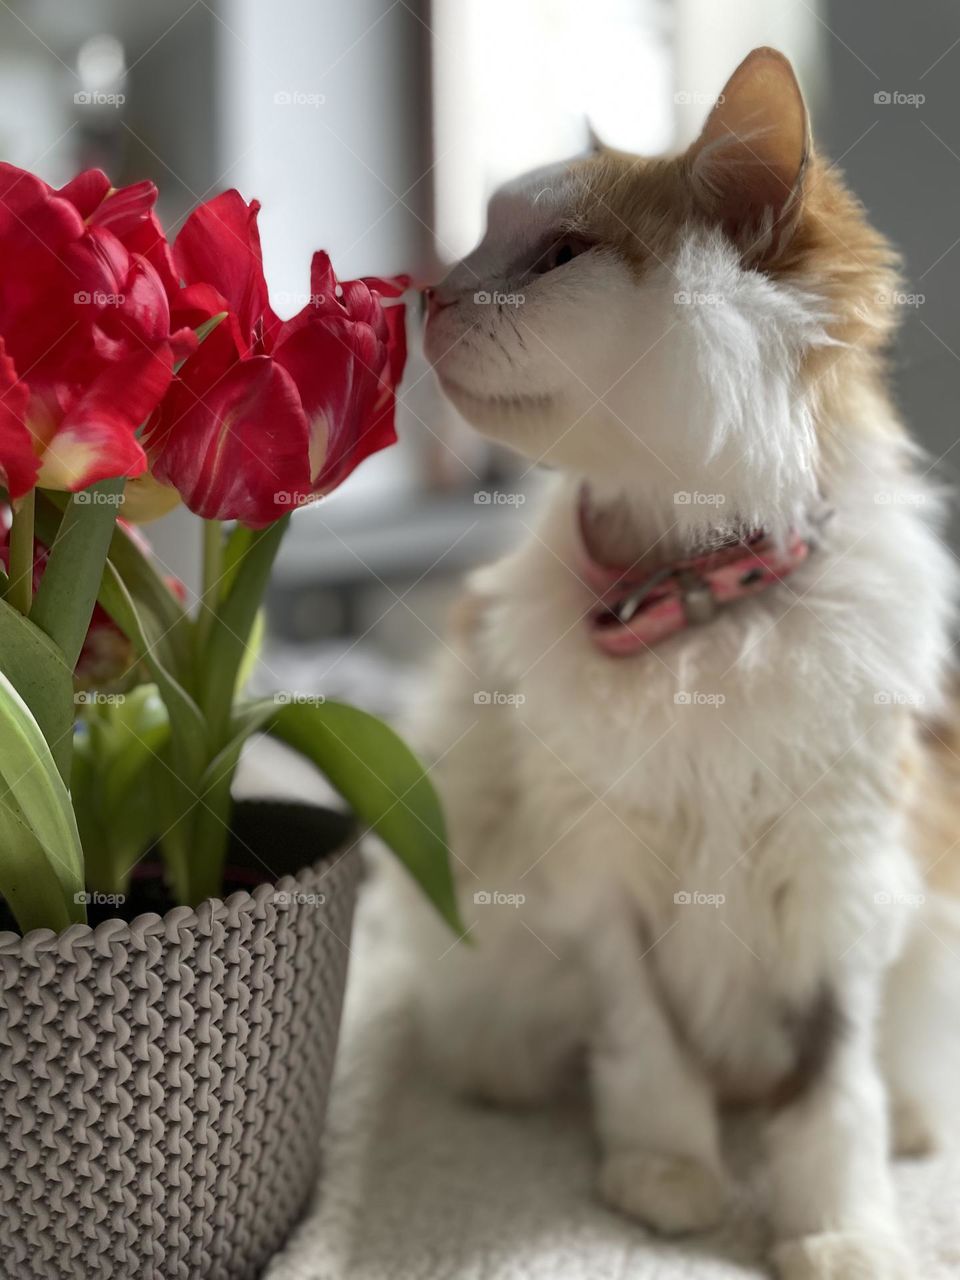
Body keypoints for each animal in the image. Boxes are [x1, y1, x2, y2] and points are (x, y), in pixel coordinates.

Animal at [404, 45, 960, 1274]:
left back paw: (911, 1123)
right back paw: (502, 1073)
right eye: (476, 242)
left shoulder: (845, 881)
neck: (696, 609)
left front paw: (840, 1228)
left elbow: (830, 1091)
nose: (426, 290)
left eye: (561, 254)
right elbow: (646, 1052)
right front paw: (666, 1177)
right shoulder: (602, 871)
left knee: (891, 1070)